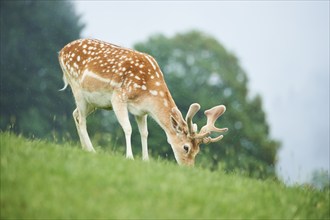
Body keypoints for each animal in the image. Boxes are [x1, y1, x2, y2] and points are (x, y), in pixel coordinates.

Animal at [58, 38, 227, 166]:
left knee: (76, 114)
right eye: (186, 147)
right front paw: (130, 157)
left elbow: (144, 133)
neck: (148, 92)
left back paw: (84, 148)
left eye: (197, 151)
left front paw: (146, 160)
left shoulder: (141, 110)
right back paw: (92, 150)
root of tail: (61, 51)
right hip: (77, 88)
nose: (189, 168)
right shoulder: (118, 96)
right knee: (81, 120)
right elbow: (128, 128)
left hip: (93, 102)